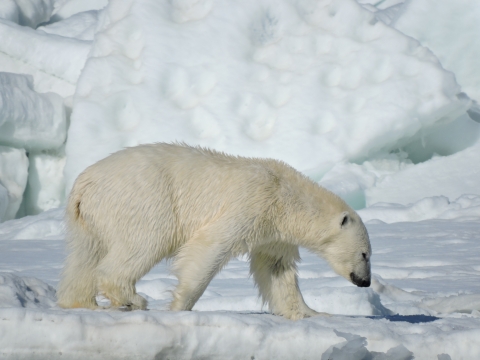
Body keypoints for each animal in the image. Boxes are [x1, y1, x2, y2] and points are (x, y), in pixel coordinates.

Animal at [57, 142, 372, 320]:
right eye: (365, 254)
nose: (365, 282)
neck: (286, 196)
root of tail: (84, 183)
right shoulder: (252, 203)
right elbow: (210, 248)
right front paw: (180, 306)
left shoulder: (274, 233)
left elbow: (276, 269)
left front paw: (311, 312)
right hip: (144, 200)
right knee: (143, 244)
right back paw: (132, 298)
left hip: (88, 217)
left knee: (85, 255)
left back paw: (81, 302)